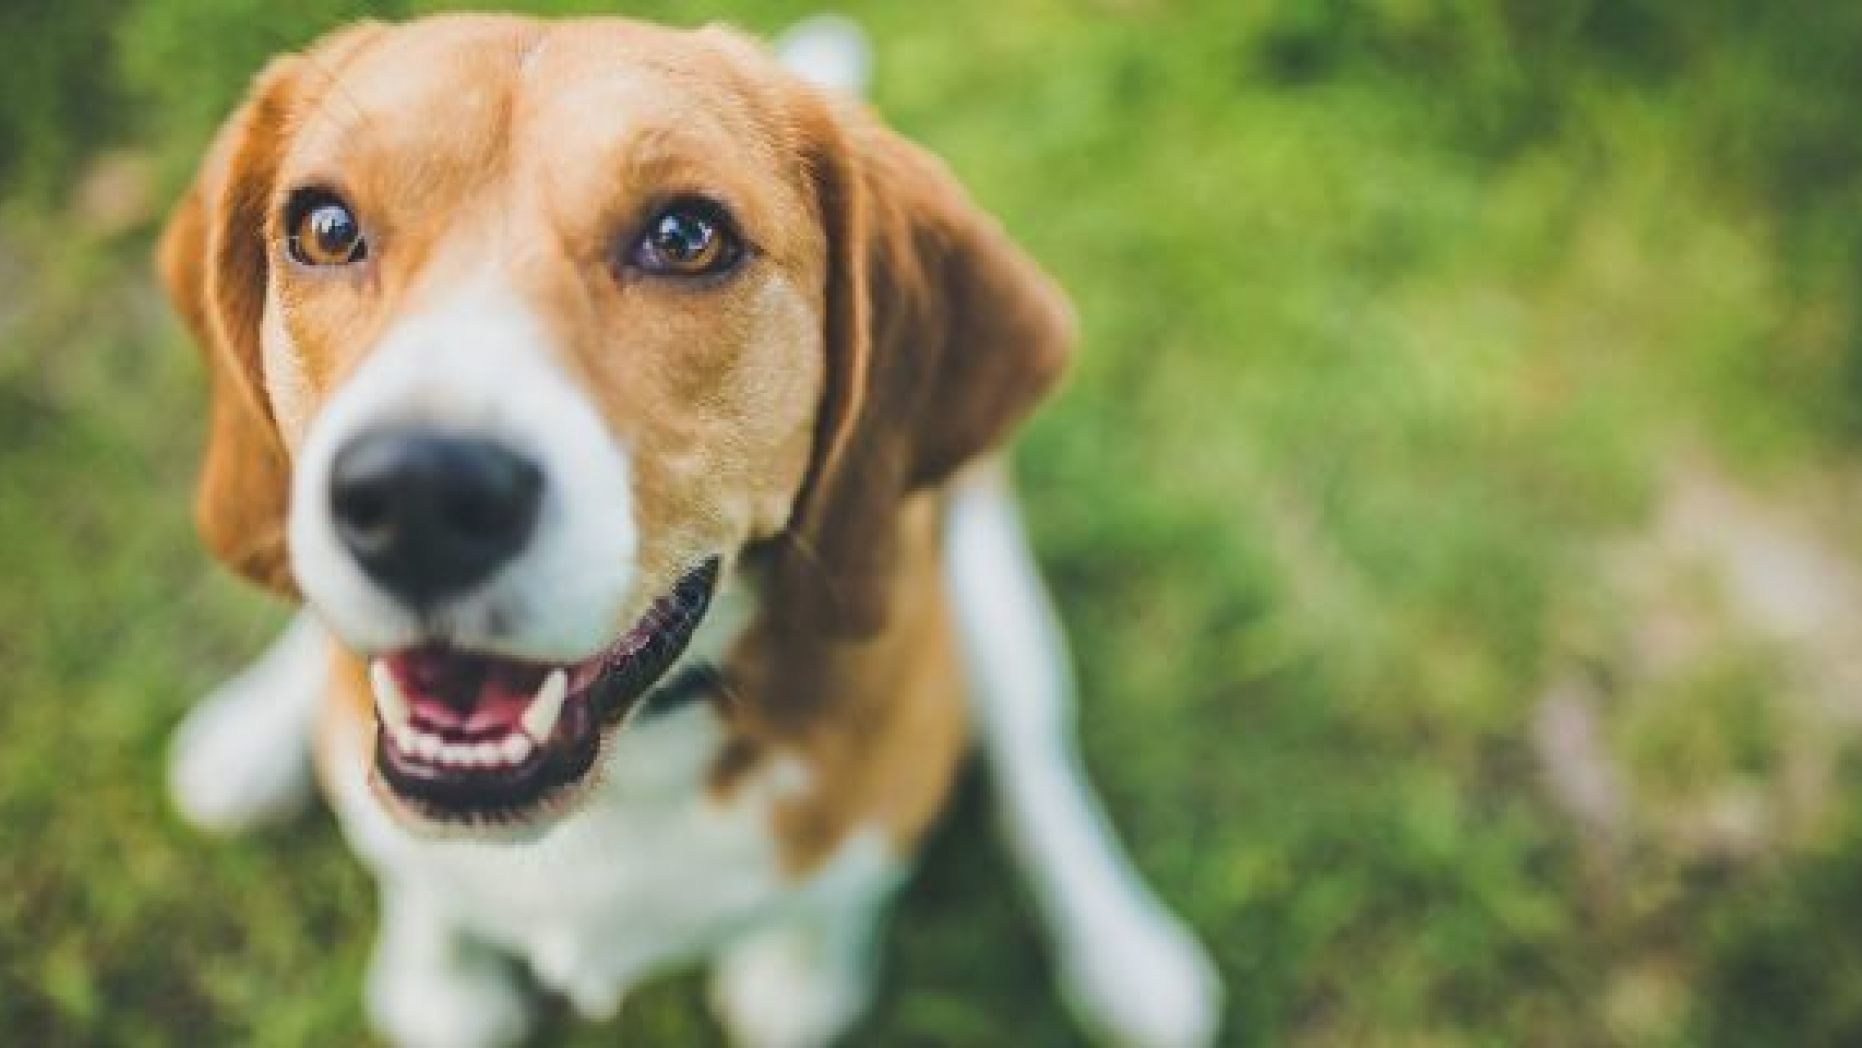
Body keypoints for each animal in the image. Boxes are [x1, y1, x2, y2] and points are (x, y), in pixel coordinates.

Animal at [163, 16, 1221, 1048]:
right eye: (325, 226)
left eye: (685, 237)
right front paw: (439, 967)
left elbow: (820, 949)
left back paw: (1129, 957)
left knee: (1042, 764)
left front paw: (805, 964)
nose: (420, 496)